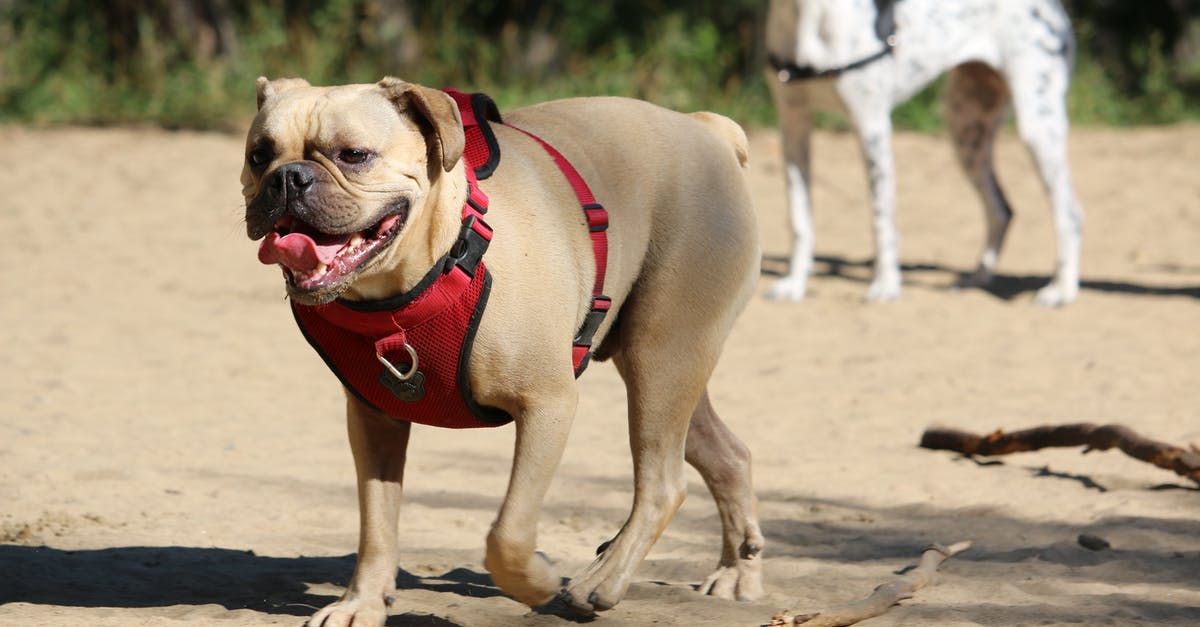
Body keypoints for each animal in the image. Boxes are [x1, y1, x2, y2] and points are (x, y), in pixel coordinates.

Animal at [240, 75, 763, 619]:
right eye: (259, 156)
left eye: (354, 155)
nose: (287, 178)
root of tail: (708, 130)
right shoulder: (375, 421)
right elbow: (377, 524)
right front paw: (360, 604)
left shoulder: (548, 406)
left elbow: (507, 533)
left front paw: (536, 582)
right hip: (672, 371)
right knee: (727, 456)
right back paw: (736, 574)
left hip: (661, 362)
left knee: (662, 483)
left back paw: (600, 581)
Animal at [768, 0, 1089, 305]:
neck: (804, 13)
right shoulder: (792, 125)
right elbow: (799, 218)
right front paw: (795, 285)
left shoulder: (871, 126)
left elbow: (881, 219)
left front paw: (886, 285)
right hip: (966, 131)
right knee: (1002, 209)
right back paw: (977, 279)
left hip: (1037, 126)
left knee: (1069, 214)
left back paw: (1061, 290)